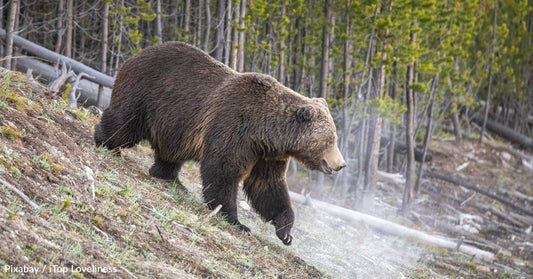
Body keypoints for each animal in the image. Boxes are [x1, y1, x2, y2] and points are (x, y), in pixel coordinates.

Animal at [94, 41, 344, 245]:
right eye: (331, 139)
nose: (341, 164)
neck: (267, 132)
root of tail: (137, 54)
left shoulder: (267, 154)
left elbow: (268, 186)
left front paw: (285, 230)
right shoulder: (235, 127)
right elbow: (223, 169)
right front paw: (236, 221)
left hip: (175, 124)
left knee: (171, 152)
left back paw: (172, 178)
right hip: (147, 92)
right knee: (125, 123)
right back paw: (104, 141)